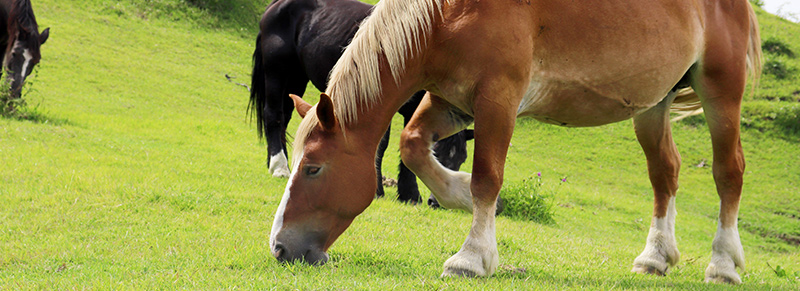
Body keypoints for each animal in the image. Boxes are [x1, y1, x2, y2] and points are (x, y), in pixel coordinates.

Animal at [248, 0, 476, 205]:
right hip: (277, 73)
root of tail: (276, 5)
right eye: (437, 153)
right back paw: (279, 166)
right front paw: (378, 190)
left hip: (296, 78)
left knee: (285, 117)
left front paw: (409, 193)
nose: (435, 202)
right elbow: (381, 145)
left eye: (462, 158)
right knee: (274, 116)